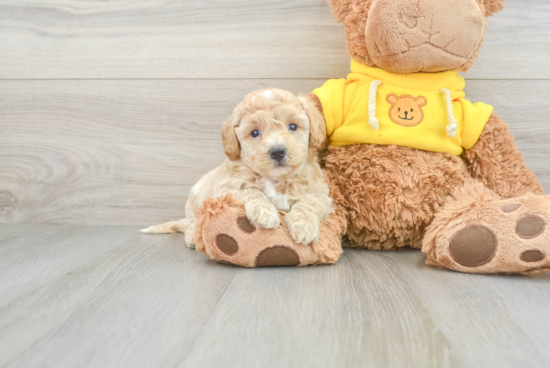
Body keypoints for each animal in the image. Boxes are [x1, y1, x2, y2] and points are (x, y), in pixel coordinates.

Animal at [142, 89, 332, 249]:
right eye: (254, 133)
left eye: (293, 126)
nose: (277, 151)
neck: (276, 179)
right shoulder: (225, 190)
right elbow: (250, 190)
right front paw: (265, 213)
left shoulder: (322, 194)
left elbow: (311, 202)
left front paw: (303, 226)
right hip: (194, 203)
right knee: (192, 222)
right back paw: (191, 237)